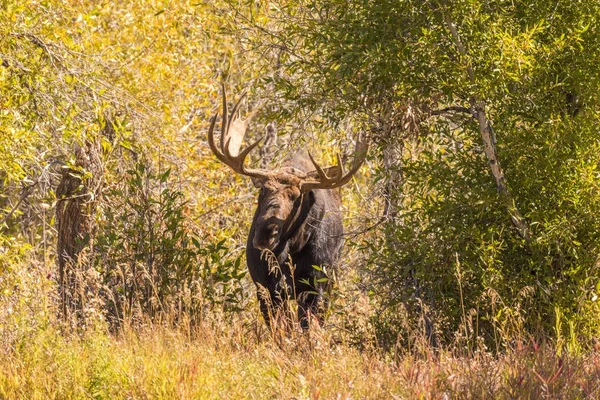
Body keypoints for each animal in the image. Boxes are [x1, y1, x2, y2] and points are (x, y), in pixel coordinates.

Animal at [209, 87, 368, 328]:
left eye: (295, 197)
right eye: (262, 191)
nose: (265, 234)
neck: (290, 250)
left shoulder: (317, 286)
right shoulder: (266, 287)